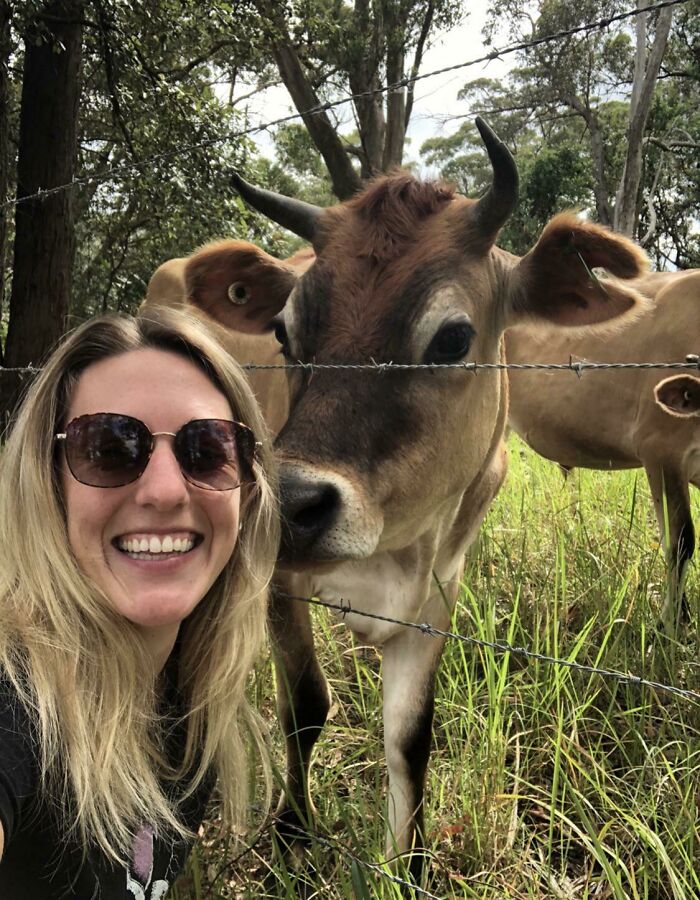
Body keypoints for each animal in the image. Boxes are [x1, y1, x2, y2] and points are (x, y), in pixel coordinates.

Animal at [142, 118, 649, 875]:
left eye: (454, 337)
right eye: (285, 332)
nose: (293, 503)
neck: (394, 547)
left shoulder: (439, 592)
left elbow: (411, 736)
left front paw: (407, 865)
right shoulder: (275, 577)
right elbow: (305, 704)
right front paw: (291, 829)